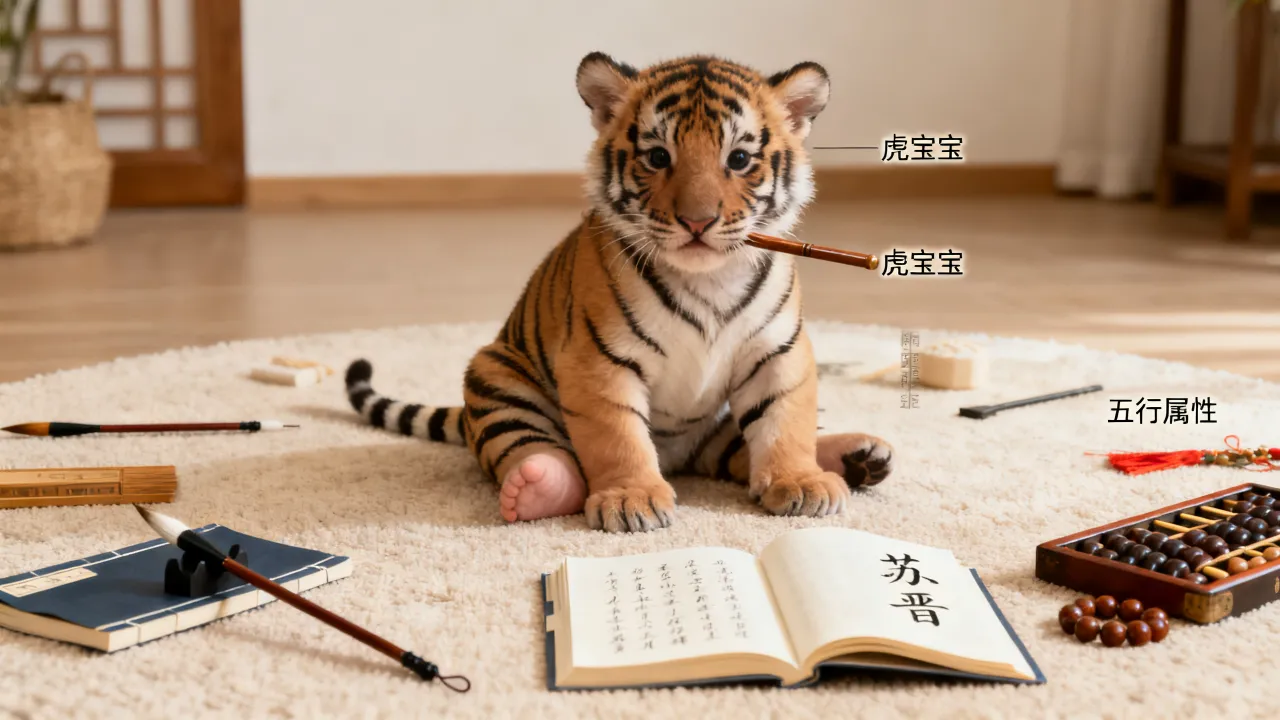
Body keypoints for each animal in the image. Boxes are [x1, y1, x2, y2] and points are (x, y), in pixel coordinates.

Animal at [345, 52, 894, 533]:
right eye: (658, 157)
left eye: (738, 159)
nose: (698, 221)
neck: (707, 280)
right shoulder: (599, 359)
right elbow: (617, 435)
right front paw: (633, 499)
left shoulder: (778, 351)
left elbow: (785, 421)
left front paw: (800, 481)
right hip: (497, 380)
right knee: (530, 447)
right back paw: (538, 483)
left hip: (715, 424)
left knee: (743, 448)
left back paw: (858, 456)